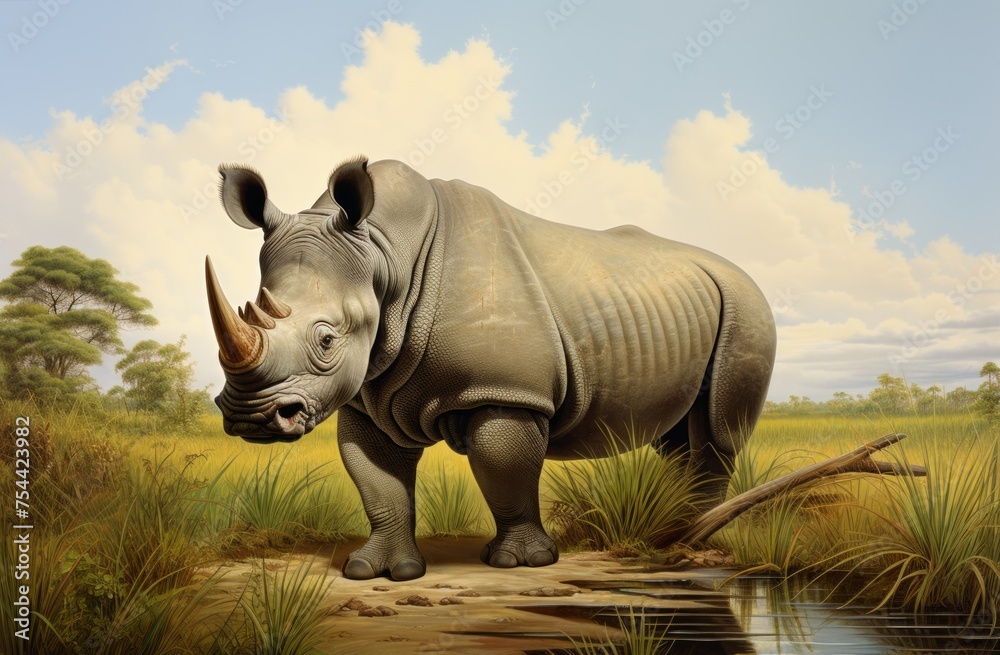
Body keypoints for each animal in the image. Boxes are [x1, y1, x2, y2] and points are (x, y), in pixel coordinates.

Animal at [206, 157, 776, 581]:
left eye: (326, 340)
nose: (251, 418)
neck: (385, 254)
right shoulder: (369, 394)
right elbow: (377, 481)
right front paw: (376, 572)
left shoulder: (504, 390)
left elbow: (504, 469)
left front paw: (522, 562)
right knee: (678, 438)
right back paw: (670, 533)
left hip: (748, 308)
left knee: (719, 433)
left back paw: (685, 541)